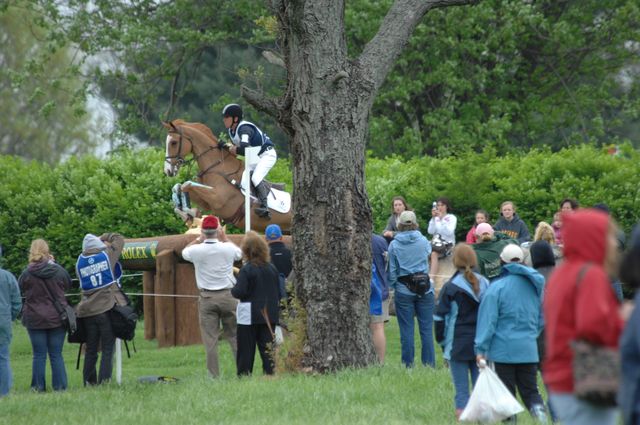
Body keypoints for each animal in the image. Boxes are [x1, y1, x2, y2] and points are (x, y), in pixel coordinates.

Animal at [161, 119, 292, 232]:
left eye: (173, 143)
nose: (168, 170)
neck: (217, 167)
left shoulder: (218, 198)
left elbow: (186, 184)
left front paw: (191, 212)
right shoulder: (208, 203)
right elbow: (180, 186)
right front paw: (188, 214)